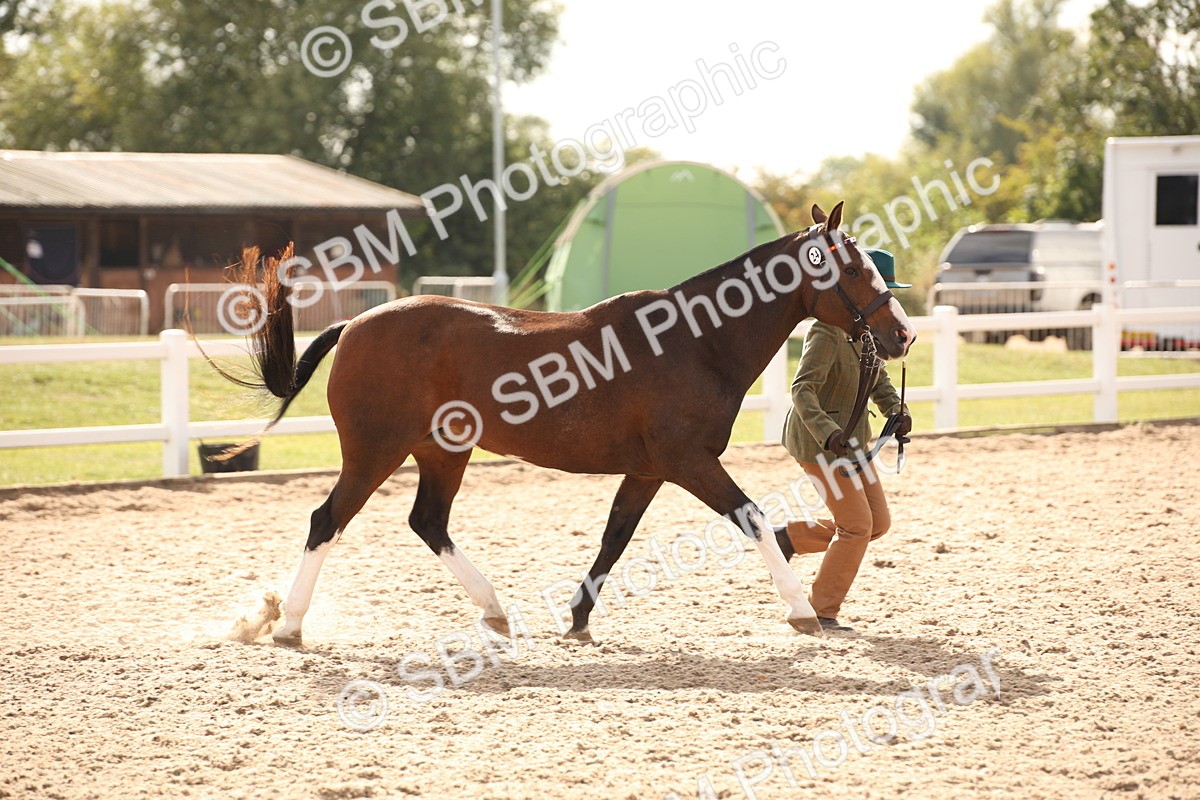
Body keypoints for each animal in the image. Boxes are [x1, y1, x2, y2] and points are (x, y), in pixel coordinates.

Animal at [216, 201, 915, 645]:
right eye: (854, 268)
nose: (902, 334)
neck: (694, 342)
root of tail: (356, 322)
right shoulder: (690, 463)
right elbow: (754, 520)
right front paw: (801, 612)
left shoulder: (649, 470)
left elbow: (614, 538)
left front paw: (576, 619)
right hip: (373, 452)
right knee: (326, 521)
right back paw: (288, 626)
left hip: (443, 452)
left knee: (427, 523)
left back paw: (496, 612)